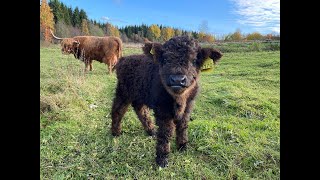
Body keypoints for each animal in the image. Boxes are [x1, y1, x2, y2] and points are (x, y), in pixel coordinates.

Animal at [111, 35, 224, 167]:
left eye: (194, 60)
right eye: (165, 59)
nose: (177, 80)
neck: (179, 100)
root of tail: (124, 59)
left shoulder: (189, 105)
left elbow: (183, 125)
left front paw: (183, 146)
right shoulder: (162, 109)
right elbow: (166, 131)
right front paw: (162, 159)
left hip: (140, 93)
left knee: (139, 108)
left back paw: (151, 130)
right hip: (123, 91)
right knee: (118, 109)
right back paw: (116, 132)